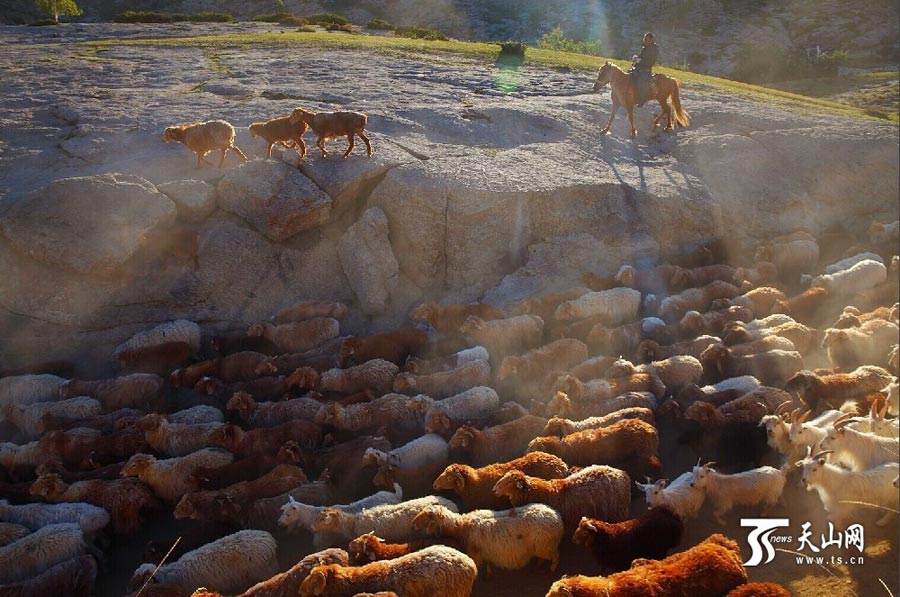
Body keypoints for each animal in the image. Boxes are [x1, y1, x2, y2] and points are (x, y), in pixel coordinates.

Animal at [411, 503, 564, 574]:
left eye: (425, 517)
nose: (412, 524)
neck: (461, 527)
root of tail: (557, 519)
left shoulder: (476, 554)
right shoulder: (484, 551)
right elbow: (488, 563)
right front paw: (489, 573)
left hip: (545, 545)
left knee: (556, 555)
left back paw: (552, 569)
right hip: (541, 546)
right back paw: (538, 567)